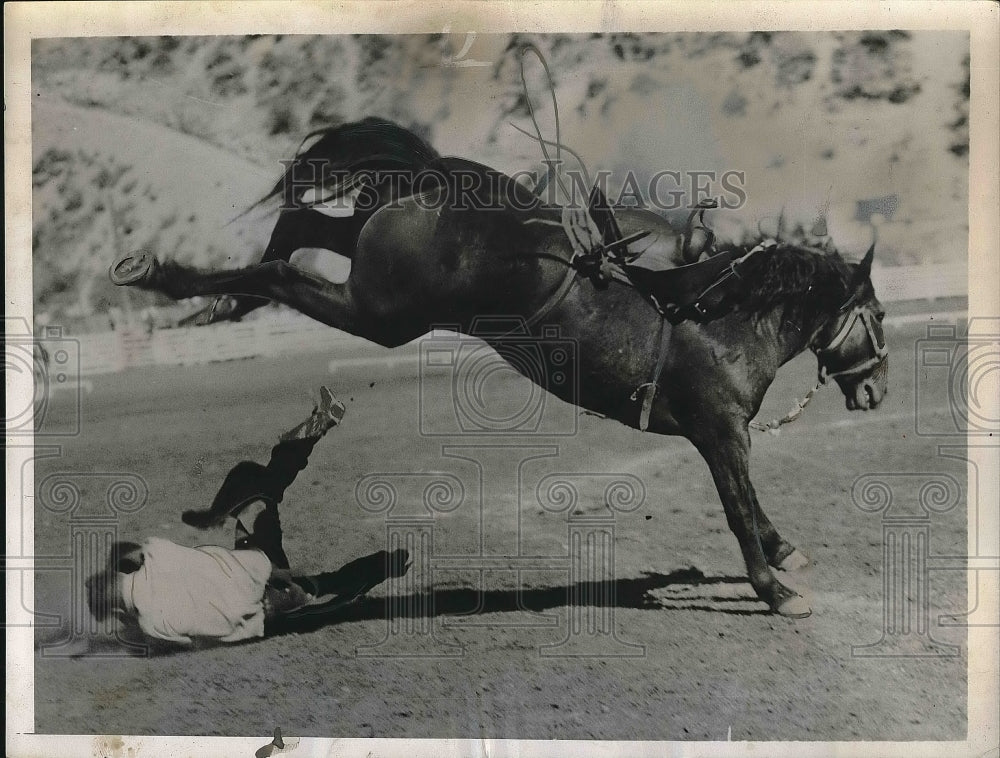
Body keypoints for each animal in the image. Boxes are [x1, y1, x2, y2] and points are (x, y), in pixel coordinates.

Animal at [111, 117, 892, 616]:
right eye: (880, 317)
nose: (879, 392)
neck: (720, 315)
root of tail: (438, 181)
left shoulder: (725, 436)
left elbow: (752, 506)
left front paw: (786, 556)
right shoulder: (718, 432)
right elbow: (738, 508)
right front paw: (778, 592)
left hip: (370, 262)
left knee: (301, 228)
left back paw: (204, 296)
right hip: (380, 315)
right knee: (280, 268)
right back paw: (170, 282)